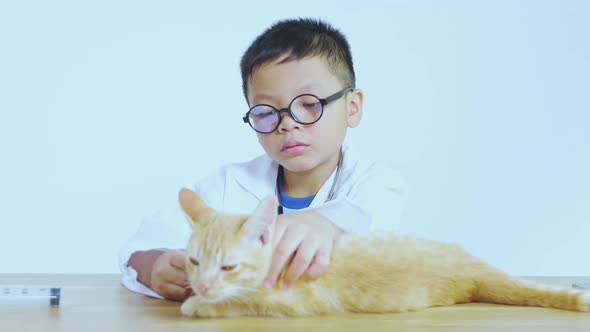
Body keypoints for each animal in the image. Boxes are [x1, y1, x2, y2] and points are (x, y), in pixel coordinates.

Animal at [178, 188, 588, 318]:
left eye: (228, 267)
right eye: (194, 261)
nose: (202, 285)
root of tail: (473, 272)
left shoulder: (296, 302)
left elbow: (240, 301)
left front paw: (199, 304)